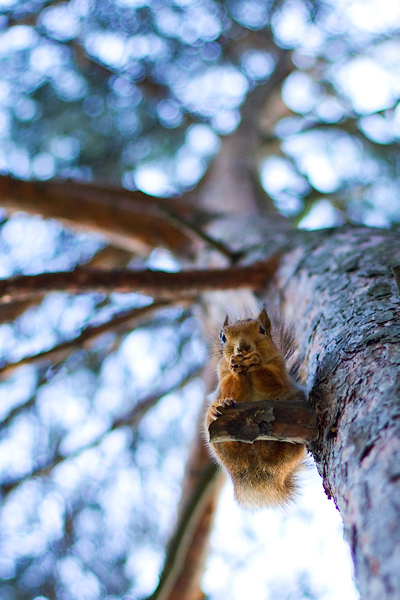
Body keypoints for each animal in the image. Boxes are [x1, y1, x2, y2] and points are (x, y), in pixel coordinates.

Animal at [206, 308, 306, 508]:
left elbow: (273, 382)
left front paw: (256, 361)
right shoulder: (222, 376)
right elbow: (230, 388)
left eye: (261, 329)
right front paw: (235, 369)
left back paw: (270, 444)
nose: (242, 347)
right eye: (223, 337)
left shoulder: (280, 372)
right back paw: (219, 410)